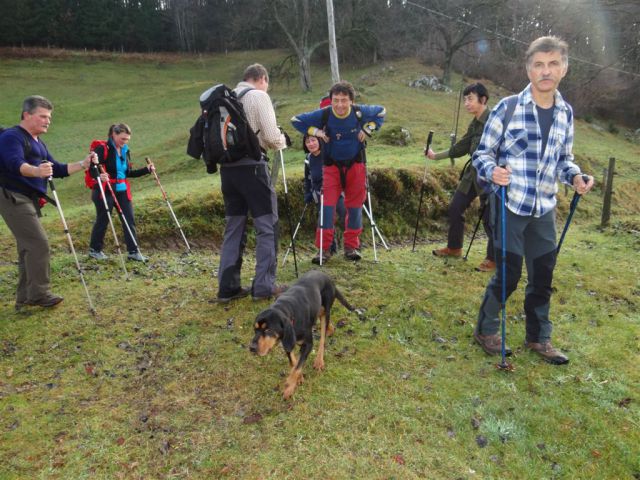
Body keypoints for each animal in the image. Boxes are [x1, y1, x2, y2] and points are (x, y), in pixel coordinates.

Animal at [249, 270, 356, 398]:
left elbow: (298, 366)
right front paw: (298, 378)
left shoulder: (307, 344)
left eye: (268, 330)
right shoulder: (287, 341)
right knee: (328, 326)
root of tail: (327, 276)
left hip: (326, 309)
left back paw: (319, 360)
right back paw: (331, 330)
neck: (287, 310)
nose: (251, 348)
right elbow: (294, 362)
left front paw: (289, 386)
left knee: (323, 337)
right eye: (255, 329)